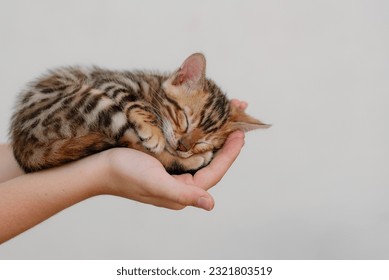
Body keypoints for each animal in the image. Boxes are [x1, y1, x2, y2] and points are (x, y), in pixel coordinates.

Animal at [9, 53, 270, 174]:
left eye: (204, 141)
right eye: (184, 119)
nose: (184, 147)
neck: (151, 89)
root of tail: (22, 143)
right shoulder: (110, 82)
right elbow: (135, 103)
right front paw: (154, 131)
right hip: (94, 101)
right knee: (134, 144)